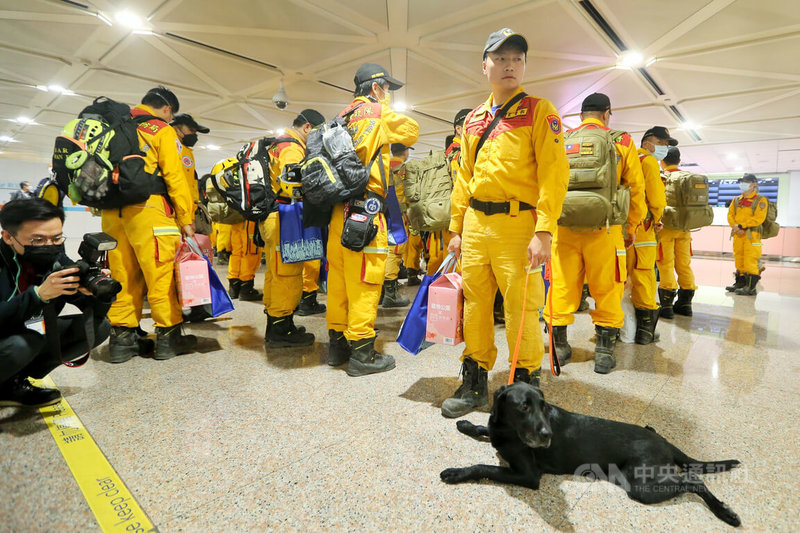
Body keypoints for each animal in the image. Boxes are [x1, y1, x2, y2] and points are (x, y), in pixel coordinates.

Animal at [440, 380, 740, 524]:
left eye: (543, 405)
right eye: (523, 406)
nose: (547, 435)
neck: (509, 429)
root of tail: (665, 442)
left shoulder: (528, 475)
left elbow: (483, 467)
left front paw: (456, 472)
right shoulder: (498, 433)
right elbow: (483, 428)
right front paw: (467, 424)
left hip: (643, 485)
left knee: (693, 480)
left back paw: (725, 513)